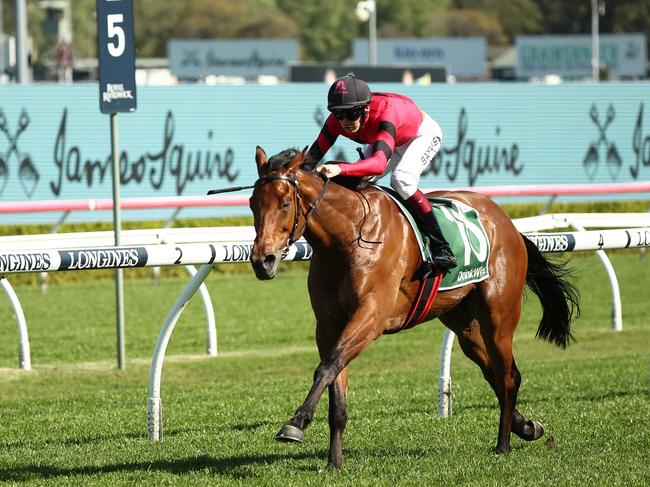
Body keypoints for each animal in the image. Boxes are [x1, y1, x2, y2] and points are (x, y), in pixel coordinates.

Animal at [247, 146, 576, 472]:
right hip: (464, 324)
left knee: (508, 376)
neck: (349, 237)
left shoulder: (370, 317)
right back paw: (527, 427)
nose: (263, 261)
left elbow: (326, 368)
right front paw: (334, 464)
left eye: (285, 204)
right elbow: (335, 386)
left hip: (498, 317)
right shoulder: (329, 327)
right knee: (493, 371)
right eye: (252, 204)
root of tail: (508, 223)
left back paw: (503, 445)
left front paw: (295, 424)